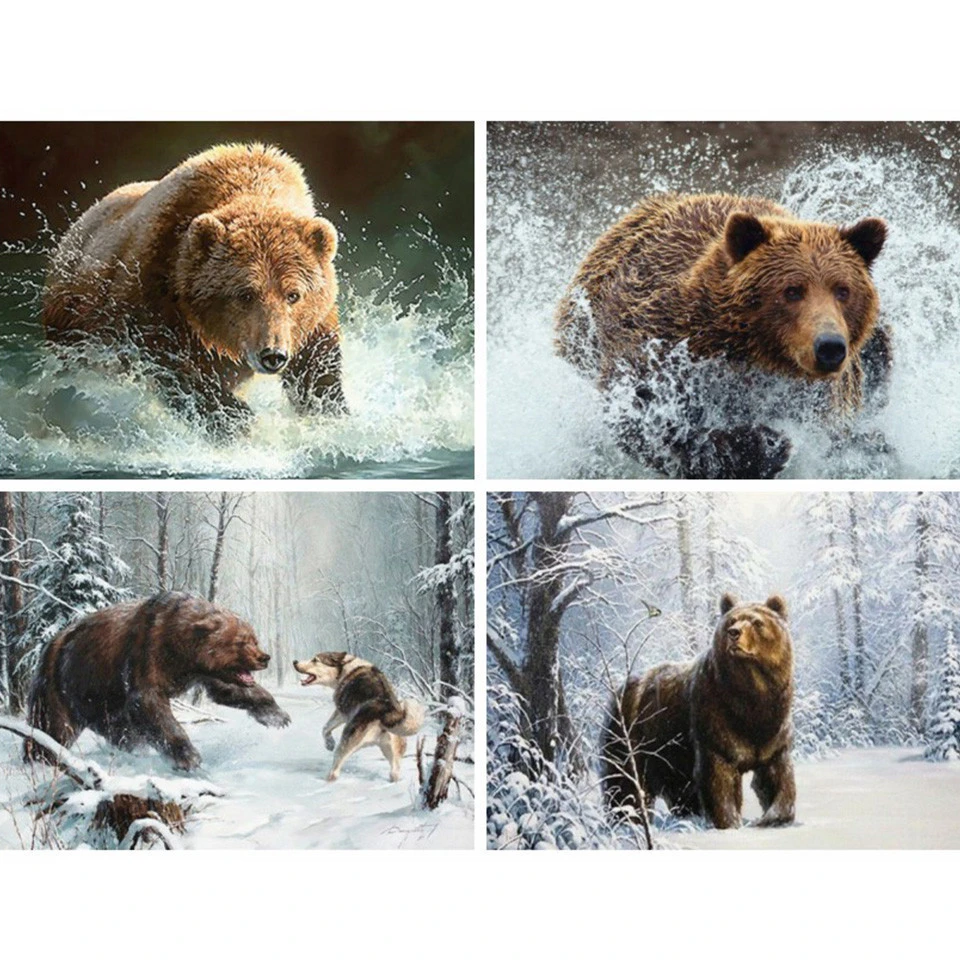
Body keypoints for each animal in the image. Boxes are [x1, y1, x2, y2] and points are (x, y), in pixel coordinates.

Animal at [23, 591, 291, 771]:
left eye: (254, 639)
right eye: (240, 642)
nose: (264, 657)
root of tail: (50, 645)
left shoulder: (204, 672)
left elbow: (228, 690)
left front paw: (277, 716)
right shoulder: (146, 651)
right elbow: (148, 703)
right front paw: (189, 757)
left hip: (101, 699)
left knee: (122, 731)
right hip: (59, 684)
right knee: (52, 727)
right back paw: (39, 760)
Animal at [41, 143, 345, 437]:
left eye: (293, 294)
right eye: (245, 294)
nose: (272, 355)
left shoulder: (313, 322)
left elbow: (317, 367)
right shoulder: (155, 290)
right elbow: (170, 364)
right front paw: (234, 417)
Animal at [556, 193, 889, 478]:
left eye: (843, 290)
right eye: (792, 290)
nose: (829, 347)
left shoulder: (819, 396)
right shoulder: (661, 343)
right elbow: (645, 414)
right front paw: (763, 445)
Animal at [601, 593, 795, 830]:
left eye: (757, 622)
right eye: (731, 621)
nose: (734, 633)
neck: (751, 697)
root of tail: (620, 689)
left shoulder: (773, 731)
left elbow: (778, 777)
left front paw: (771, 817)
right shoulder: (715, 724)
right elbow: (719, 780)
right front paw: (730, 822)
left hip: (671, 754)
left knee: (680, 789)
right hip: (631, 737)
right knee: (624, 782)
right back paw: (628, 820)